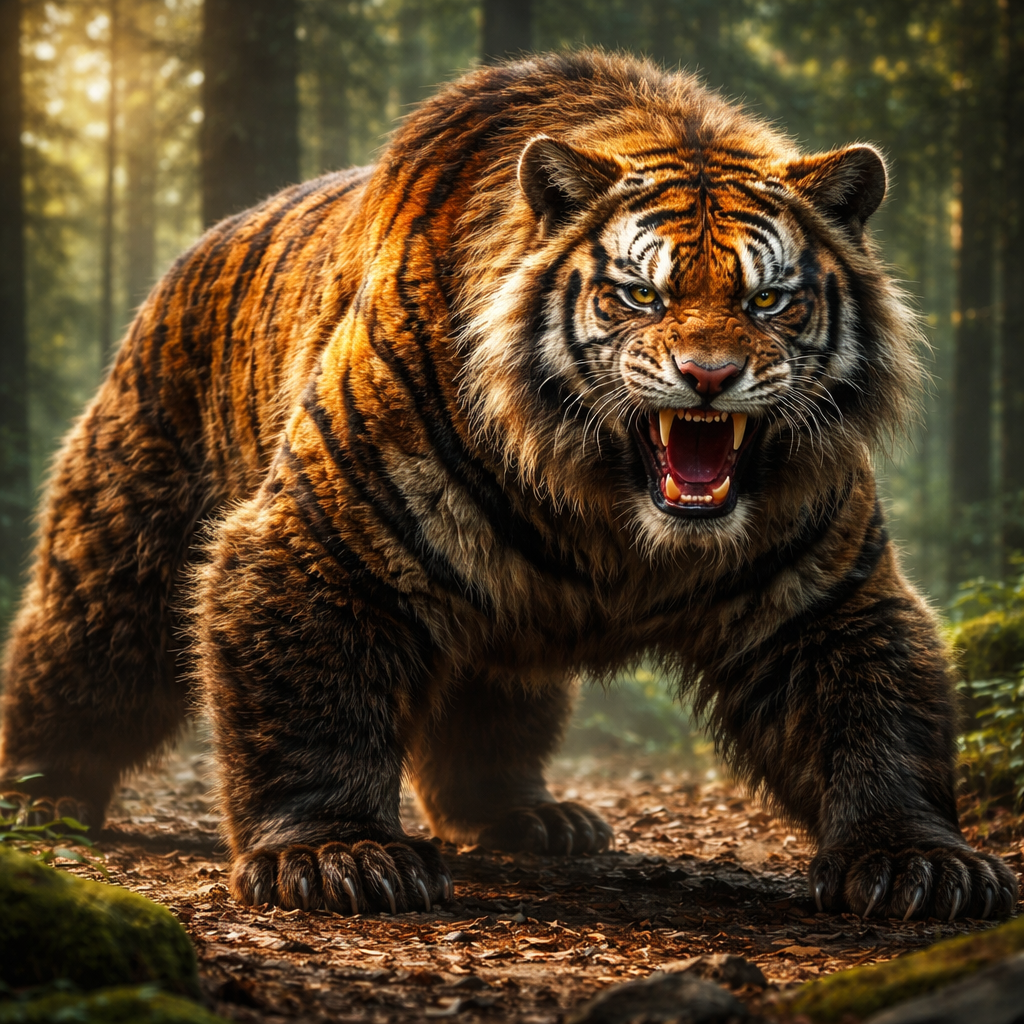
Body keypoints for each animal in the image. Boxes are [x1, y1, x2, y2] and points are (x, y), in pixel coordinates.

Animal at [1, 51, 1017, 921]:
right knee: (76, 653)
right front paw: (330, 854)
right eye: (641, 296)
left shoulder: (826, 594)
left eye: (769, 299)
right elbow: (310, 700)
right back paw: (38, 796)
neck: (612, 508)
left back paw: (531, 818)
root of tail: (192, 251)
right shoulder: (319, 541)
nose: (710, 375)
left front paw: (922, 860)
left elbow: (878, 716)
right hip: (119, 552)